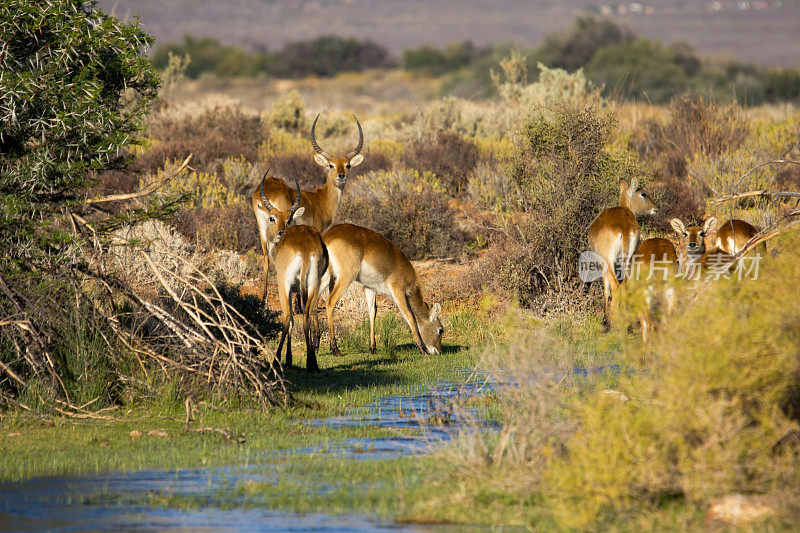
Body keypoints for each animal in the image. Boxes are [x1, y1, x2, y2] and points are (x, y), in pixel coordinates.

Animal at [250, 113, 366, 300]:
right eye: (330, 165)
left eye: (347, 165)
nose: (341, 176)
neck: (322, 199)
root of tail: (268, 186)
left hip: (262, 228)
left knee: (266, 259)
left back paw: (264, 299)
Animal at [260, 179, 328, 370]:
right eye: (272, 218)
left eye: (288, 219)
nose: (280, 232)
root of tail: (304, 248)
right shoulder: (299, 289)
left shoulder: (289, 289)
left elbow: (290, 319)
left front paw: (288, 358)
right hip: (313, 285)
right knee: (307, 314)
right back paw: (312, 363)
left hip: (284, 285)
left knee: (287, 317)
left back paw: (276, 359)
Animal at [320, 222, 444, 356]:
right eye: (440, 330)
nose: (438, 351)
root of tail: (328, 235)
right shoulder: (398, 291)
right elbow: (409, 316)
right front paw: (423, 349)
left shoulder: (369, 288)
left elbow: (372, 313)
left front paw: (373, 348)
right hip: (345, 277)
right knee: (330, 302)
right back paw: (335, 348)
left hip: (324, 278)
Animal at [584, 178, 660, 324]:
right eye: (643, 193)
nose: (656, 207)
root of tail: (624, 227)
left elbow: (606, 289)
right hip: (627, 260)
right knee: (624, 286)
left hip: (609, 261)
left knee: (615, 287)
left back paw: (609, 321)